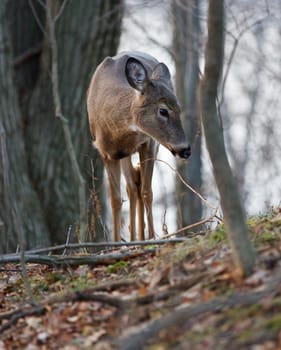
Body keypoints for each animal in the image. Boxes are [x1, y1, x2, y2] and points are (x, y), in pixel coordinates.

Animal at [86, 52, 189, 242]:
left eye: (179, 109)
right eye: (163, 110)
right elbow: (115, 199)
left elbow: (147, 191)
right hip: (123, 154)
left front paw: (150, 239)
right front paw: (115, 243)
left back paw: (140, 239)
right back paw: (134, 239)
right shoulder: (105, 151)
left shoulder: (148, 142)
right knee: (132, 186)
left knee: (138, 183)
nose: (185, 149)